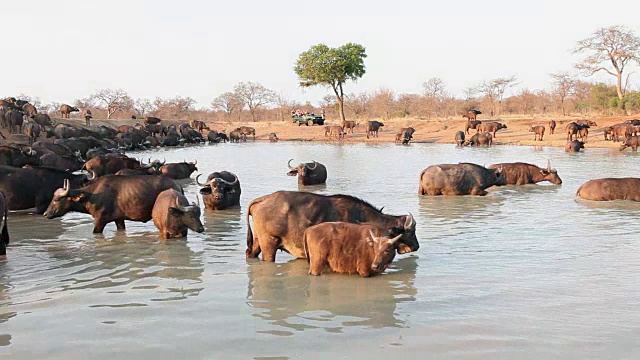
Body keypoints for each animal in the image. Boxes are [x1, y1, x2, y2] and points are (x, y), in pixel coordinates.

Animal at [43, 175, 182, 233]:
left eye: (57, 199)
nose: (45, 214)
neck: (92, 195)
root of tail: (176, 185)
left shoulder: (100, 220)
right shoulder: (119, 219)